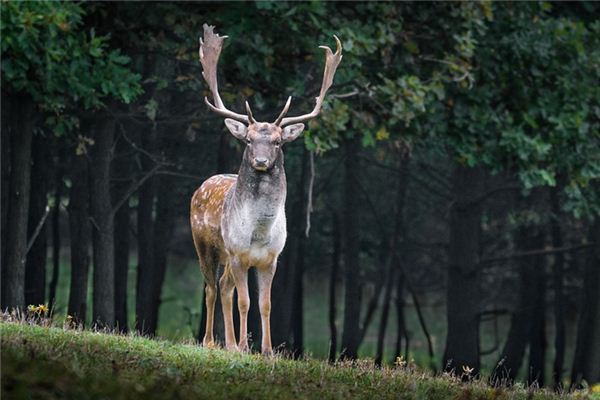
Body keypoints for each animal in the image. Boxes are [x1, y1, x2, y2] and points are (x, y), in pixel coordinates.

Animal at [192, 24, 342, 356]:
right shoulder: (238, 253)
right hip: (205, 244)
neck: (259, 232)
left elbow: (265, 304)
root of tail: (202, 185)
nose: (260, 161)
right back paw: (211, 341)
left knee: (223, 286)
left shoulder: (271, 259)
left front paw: (268, 350)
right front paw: (245, 347)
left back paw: (229, 343)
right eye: (248, 140)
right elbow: (245, 302)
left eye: (277, 141)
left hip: (226, 256)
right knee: (211, 287)